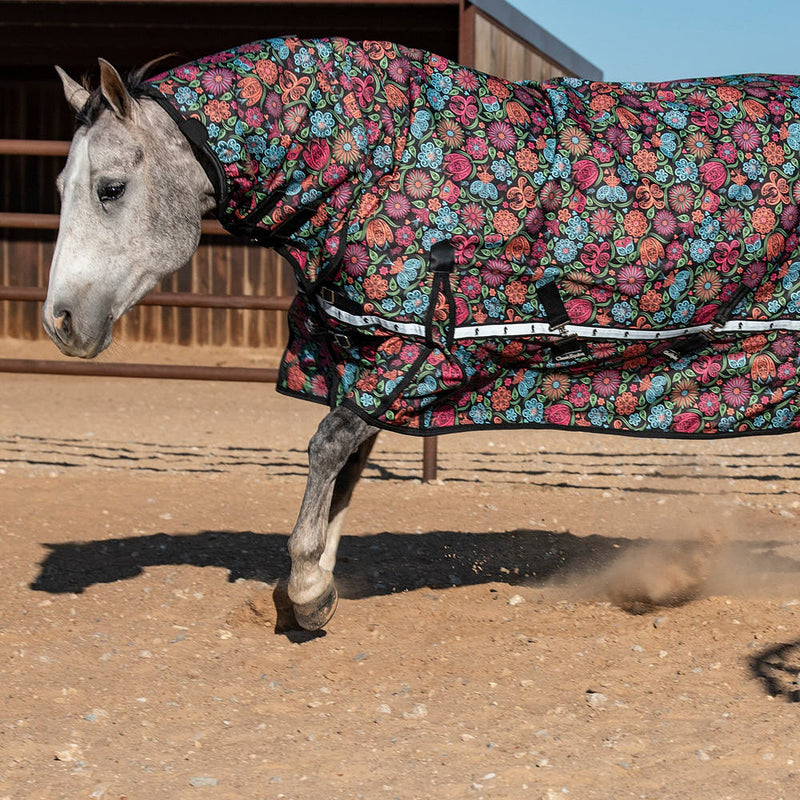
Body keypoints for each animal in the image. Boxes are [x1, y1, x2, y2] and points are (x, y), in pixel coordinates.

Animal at [44, 37, 800, 629]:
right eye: (58, 186)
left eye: (109, 187)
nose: (60, 322)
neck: (374, 161)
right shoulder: (367, 347)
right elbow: (347, 465)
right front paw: (314, 588)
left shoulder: (418, 349)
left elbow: (328, 446)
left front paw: (309, 587)